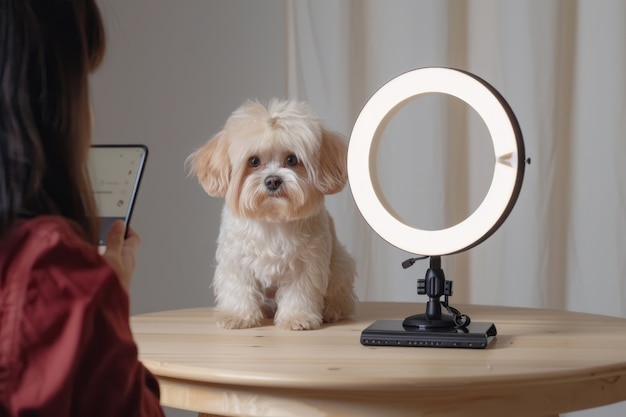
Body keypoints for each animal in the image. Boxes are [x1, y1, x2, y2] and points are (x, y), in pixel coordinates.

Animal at [186, 97, 356, 328]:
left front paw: (297, 317)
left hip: (340, 265)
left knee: (340, 295)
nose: (273, 181)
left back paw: (331, 310)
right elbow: (237, 287)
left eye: (292, 159)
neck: (272, 218)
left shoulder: (306, 263)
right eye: (254, 161)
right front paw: (237, 315)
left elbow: (299, 291)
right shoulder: (235, 259)